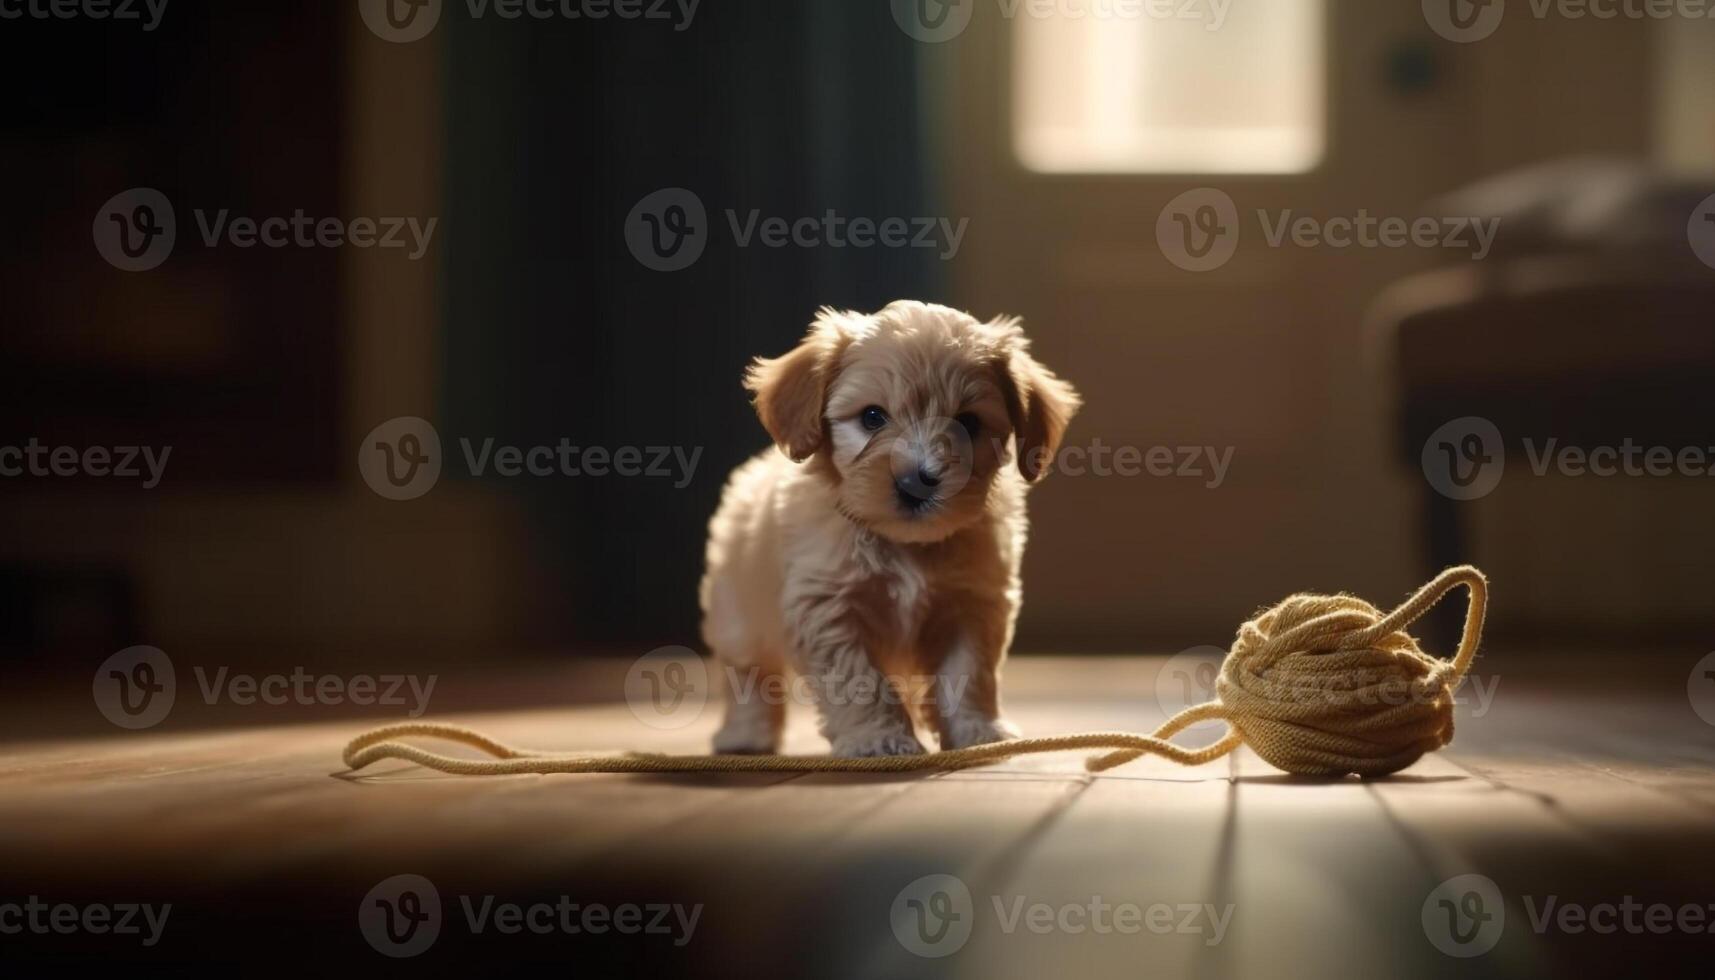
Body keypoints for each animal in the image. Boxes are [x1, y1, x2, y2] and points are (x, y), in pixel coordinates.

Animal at [692, 298, 1070, 758]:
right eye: (872, 417)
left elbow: (968, 671)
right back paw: (746, 735)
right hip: (739, 613)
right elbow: (861, 680)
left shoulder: (973, 604)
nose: (916, 481)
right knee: (751, 676)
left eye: (968, 423)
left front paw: (978, 730)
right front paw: (879, 738)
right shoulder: (830, 609)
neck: (904, 543)